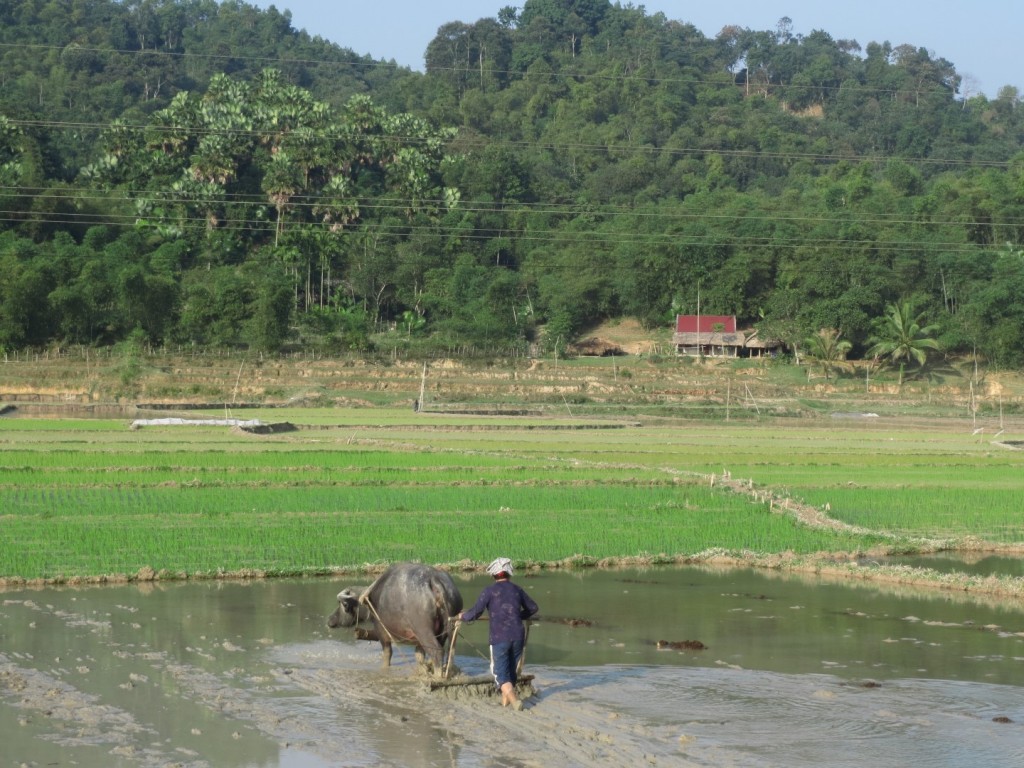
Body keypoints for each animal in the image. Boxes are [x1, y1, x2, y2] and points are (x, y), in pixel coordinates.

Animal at [327, 561, 464, 675]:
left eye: (343, 604)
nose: (329, 620)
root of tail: (435, 579)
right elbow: (419, 656)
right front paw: (423, 670)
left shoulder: (381, 631)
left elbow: (387, 654)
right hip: (448, 628)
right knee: (450, 651)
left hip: (423, 630)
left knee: (437, 652)